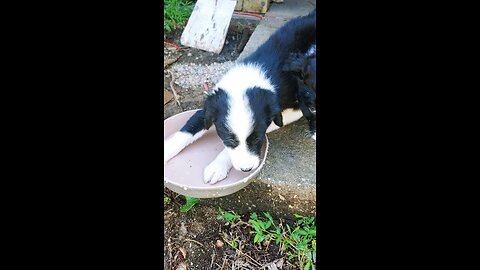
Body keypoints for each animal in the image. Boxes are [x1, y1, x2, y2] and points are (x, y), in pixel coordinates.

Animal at [163, 9, 316, 185]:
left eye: (257, 140)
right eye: (229, 140)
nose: (246, 169)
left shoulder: (292, 108)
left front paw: (218, 166)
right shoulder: (212, 106)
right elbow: (188, 129)